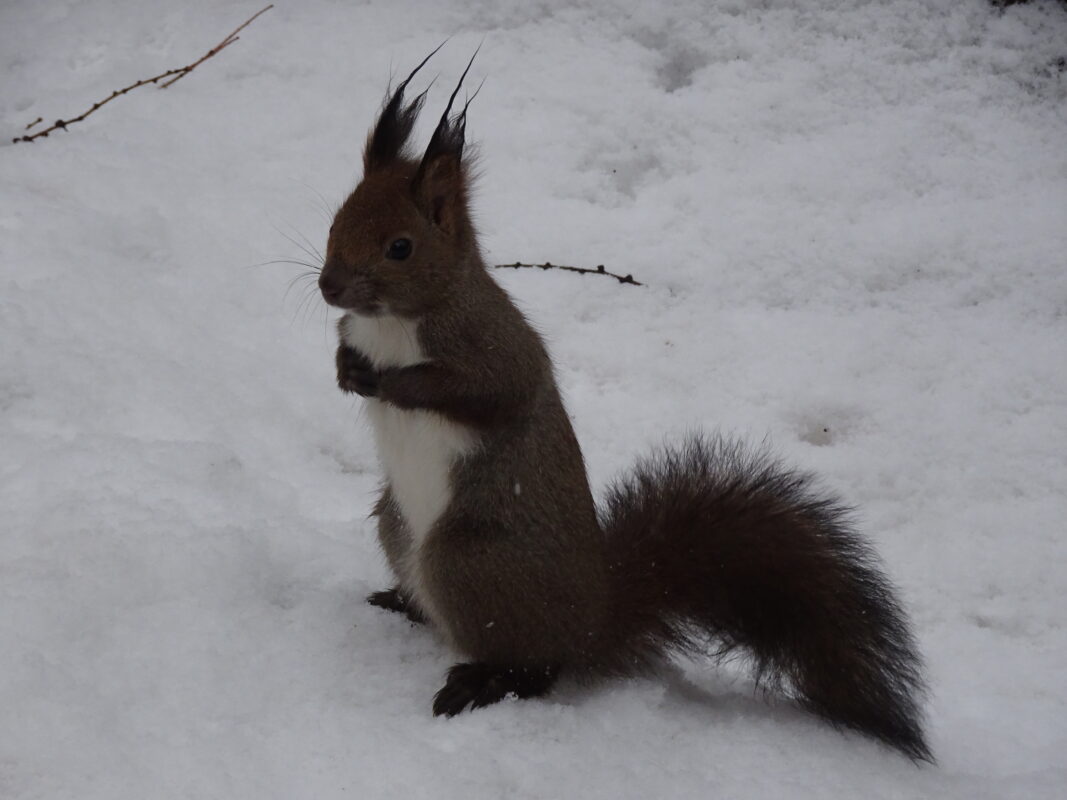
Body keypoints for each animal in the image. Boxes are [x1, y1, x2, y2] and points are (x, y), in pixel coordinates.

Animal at [317, 48, 934, 763]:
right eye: (335, 219)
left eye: (401, 247)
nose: (328, 287)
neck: (393, 323)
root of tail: (592, 620)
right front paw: (346, 370)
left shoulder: (495, 347)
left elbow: (488, 392)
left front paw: (393, 384)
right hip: (396, 523)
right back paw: (404, 604)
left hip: (469, 559)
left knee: (538, 665)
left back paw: (483, 681)